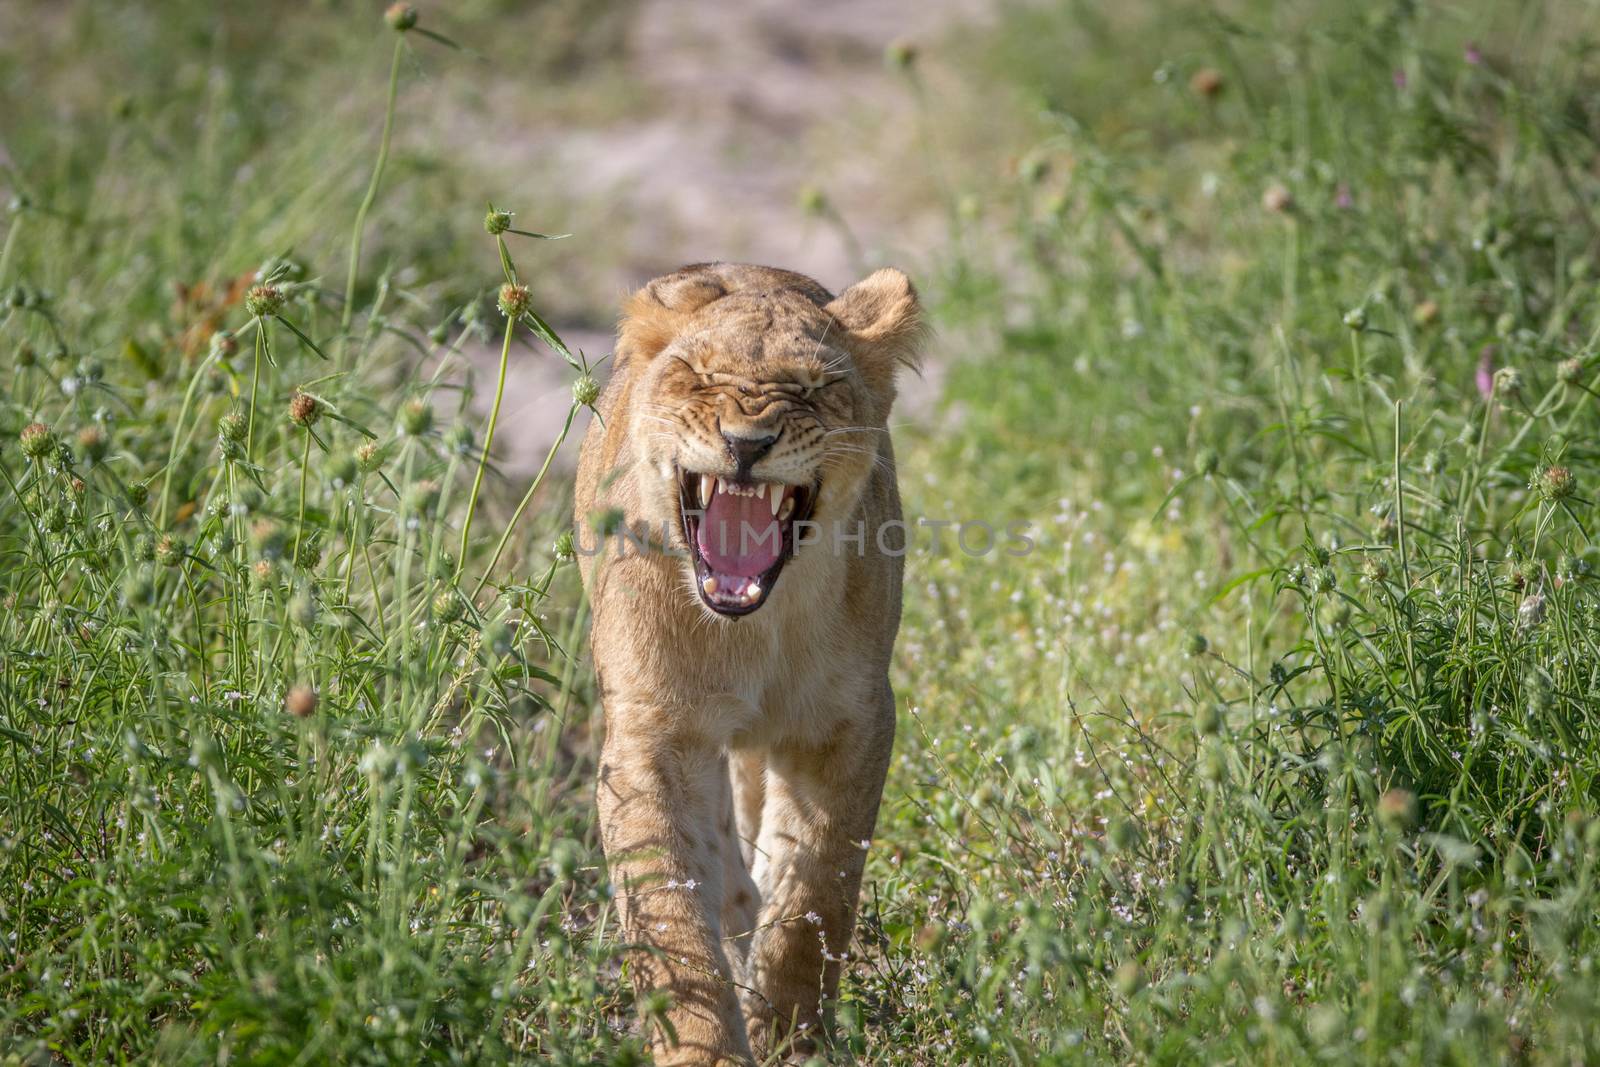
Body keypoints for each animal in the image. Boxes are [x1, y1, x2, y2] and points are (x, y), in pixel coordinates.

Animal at [576, 262, 928, 1062]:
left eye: (812, 388)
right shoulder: (651, 735)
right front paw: (704, 1047)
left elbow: (814, 891)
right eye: (701, 377)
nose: (745, 443)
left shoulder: (852, 724)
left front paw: (790, 1036)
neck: (748, 629)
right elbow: (671, 923)